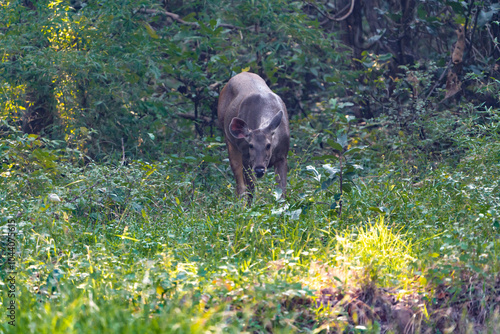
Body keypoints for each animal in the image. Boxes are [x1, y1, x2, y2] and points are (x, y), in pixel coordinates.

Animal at [218, 72, 292, 202]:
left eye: (268, 145)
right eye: (251, 145)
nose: (259, 170)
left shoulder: (283, 156)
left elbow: (282, 192)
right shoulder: (246, 156)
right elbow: (251, 191)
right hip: (229, 140)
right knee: (240, 185)